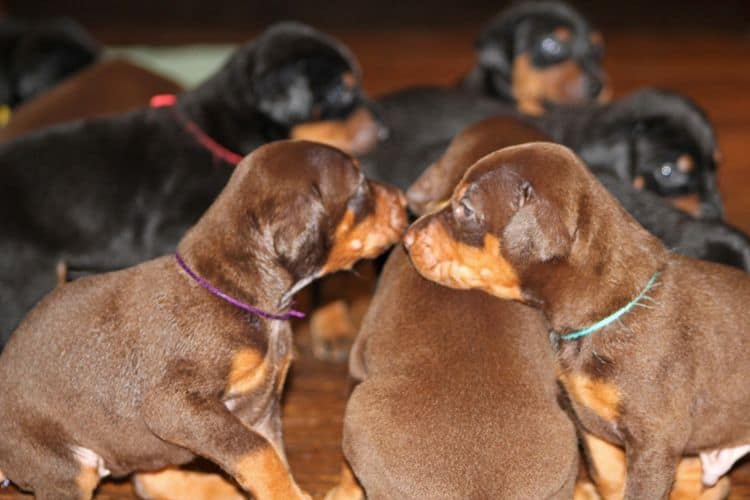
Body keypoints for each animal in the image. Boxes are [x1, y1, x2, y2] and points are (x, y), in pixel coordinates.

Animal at [0, 140, 408, 500]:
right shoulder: (173, 404)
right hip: (63, 463)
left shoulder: (261, 407)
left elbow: (269, 454)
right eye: (359, 186)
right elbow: (259, 453)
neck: (239, 292)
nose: (404, 200)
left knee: (154, 479)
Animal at [406, 142, 750, 500]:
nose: (407, 237)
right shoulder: (590, 422)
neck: (610, 312)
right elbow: (609, 478)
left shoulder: (656, 440)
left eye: (467, 208)